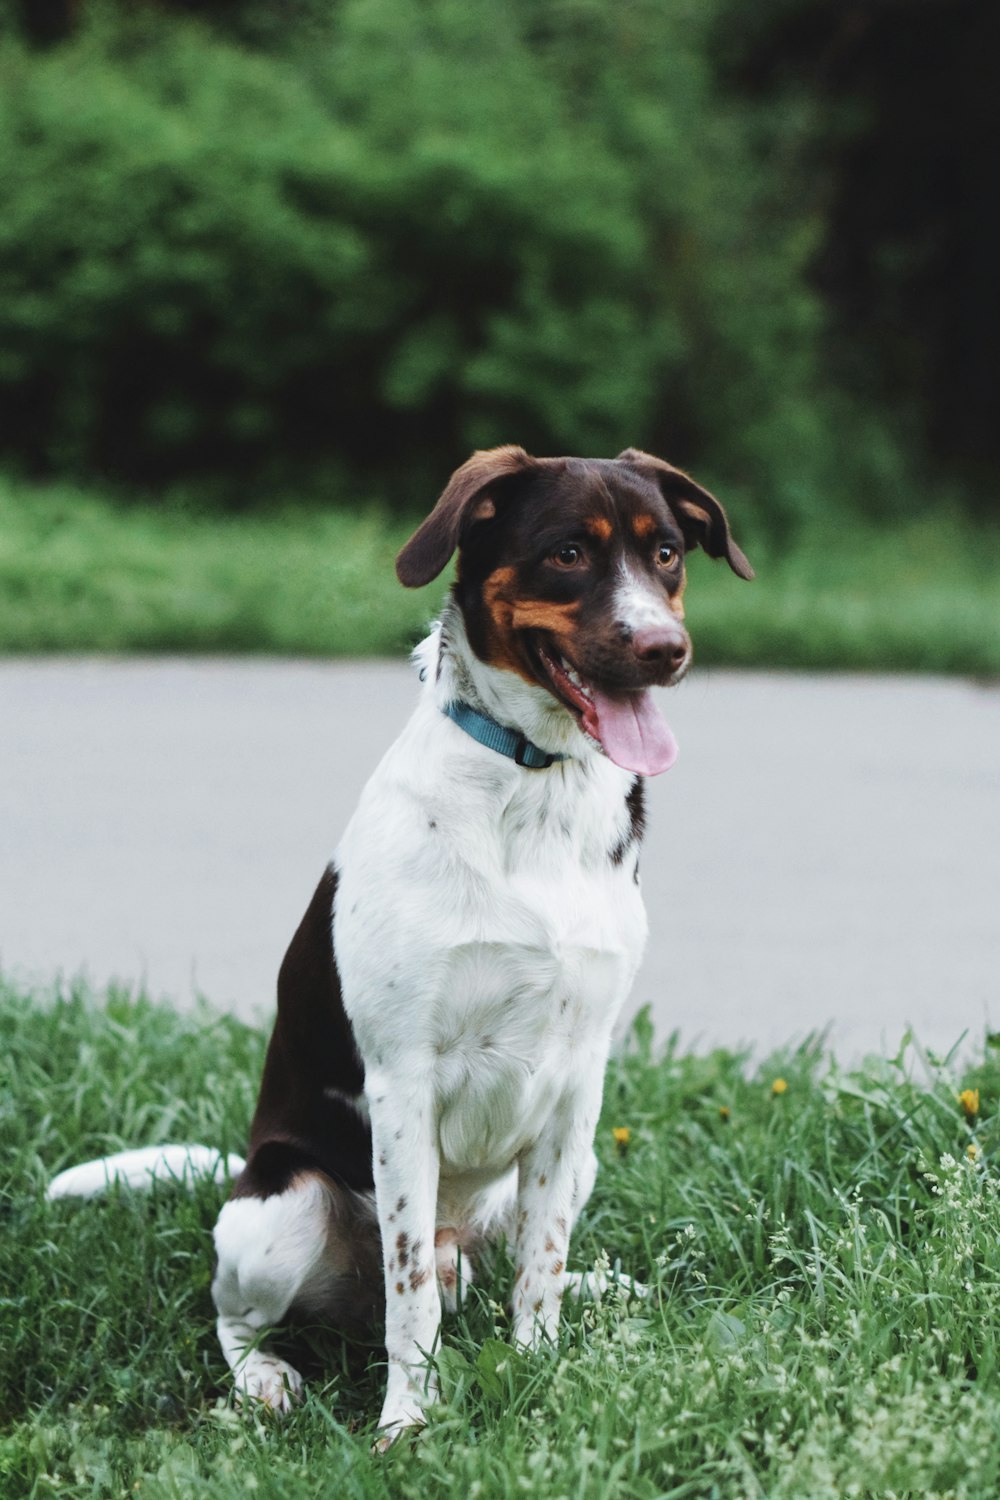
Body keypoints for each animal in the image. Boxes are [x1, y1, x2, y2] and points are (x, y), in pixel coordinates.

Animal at [48, 441, 749, 1440]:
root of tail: (249, 1161)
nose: (666, 651)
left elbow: (538, 1271)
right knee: (238, 1317)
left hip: (570, 1167)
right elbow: (408, 1288)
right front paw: (408, 1421)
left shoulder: (578, 1083)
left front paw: (539, 1375)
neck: (535, 787)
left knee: (514, 1266)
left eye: (666, 555)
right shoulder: (404, 1080)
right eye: (568, 553)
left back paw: (601, 1287)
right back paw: (267, 1378)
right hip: (282, 1213)